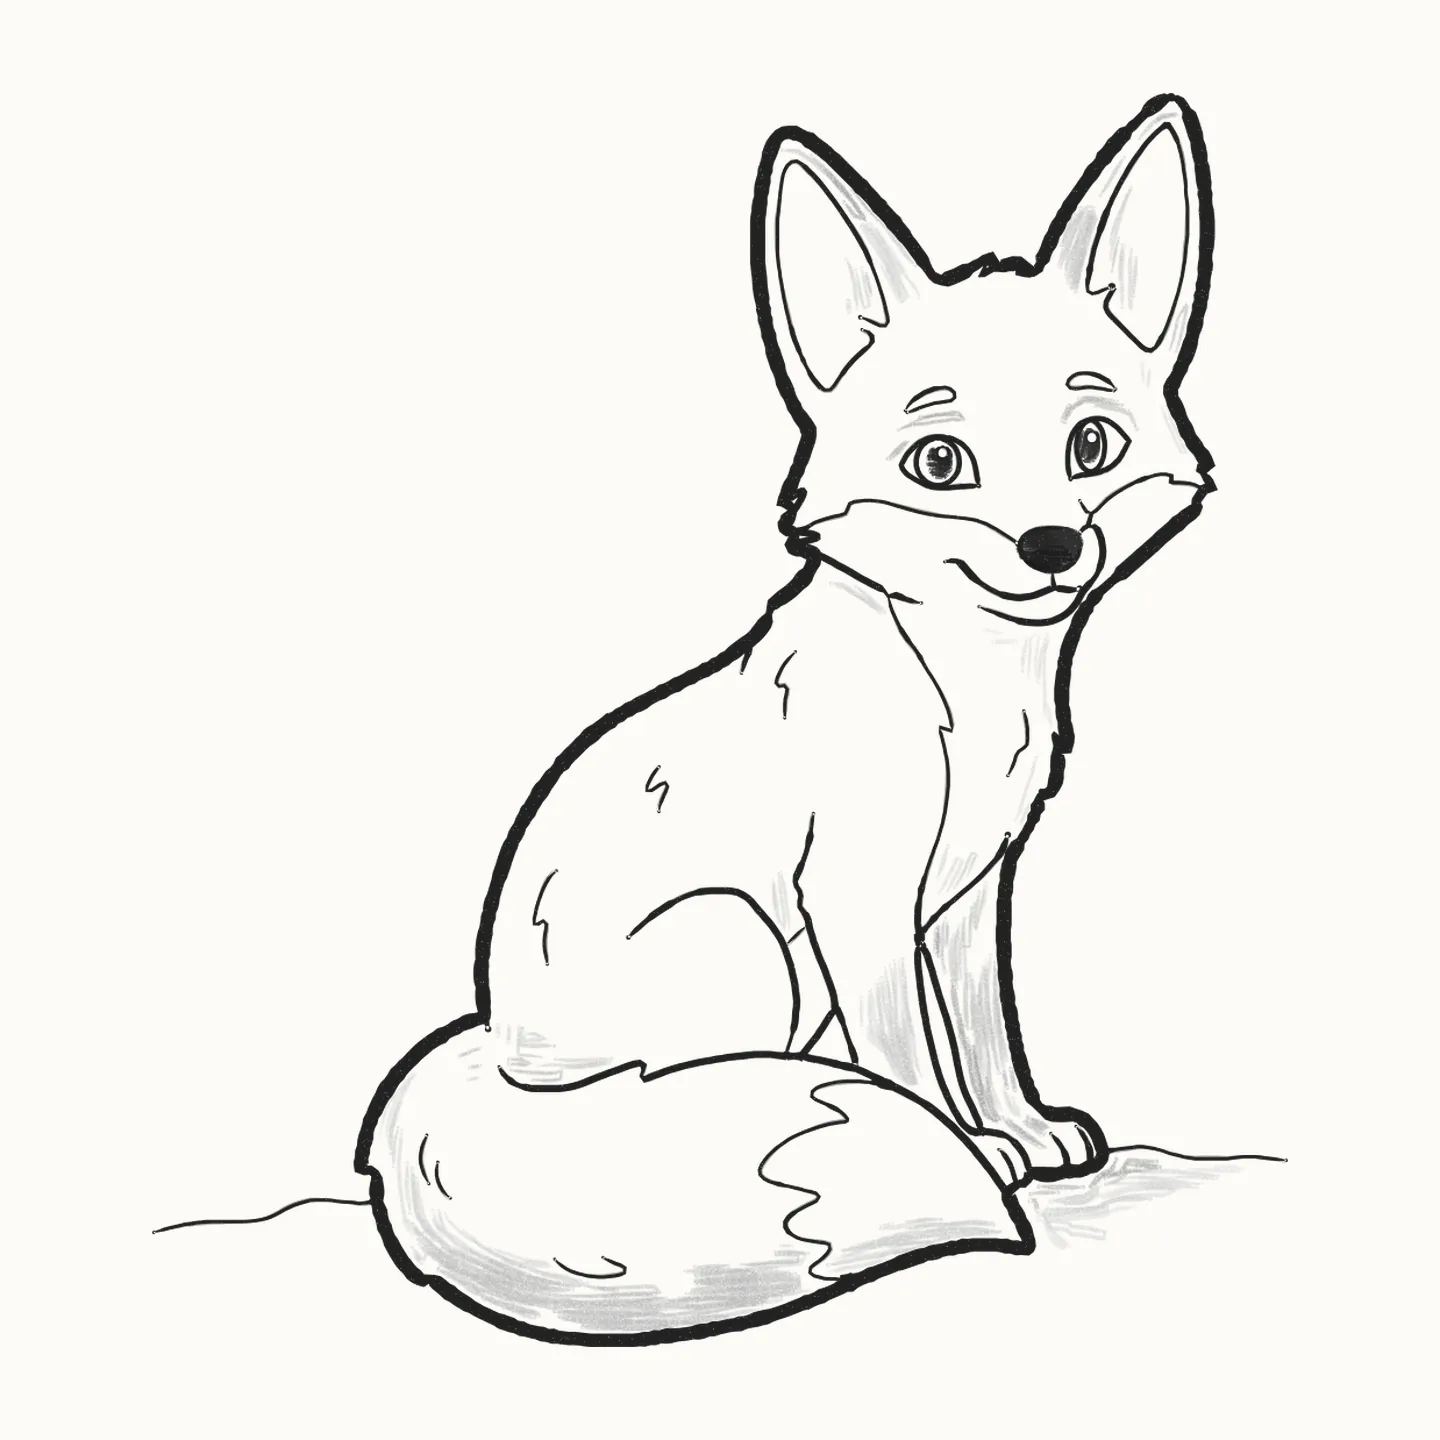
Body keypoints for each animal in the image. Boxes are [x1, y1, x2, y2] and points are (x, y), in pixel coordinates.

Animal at [357, 94, 1215, 1344]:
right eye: (940, 462)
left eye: (1090, 448)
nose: (1053, 547)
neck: (963, 694)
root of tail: (493, 1047)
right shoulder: (857, 896)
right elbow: (910, 1061)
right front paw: (972, 1150)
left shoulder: (968, 897)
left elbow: (984, 1031)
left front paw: (1024, 1128)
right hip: (745, 941)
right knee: (695, 1095)